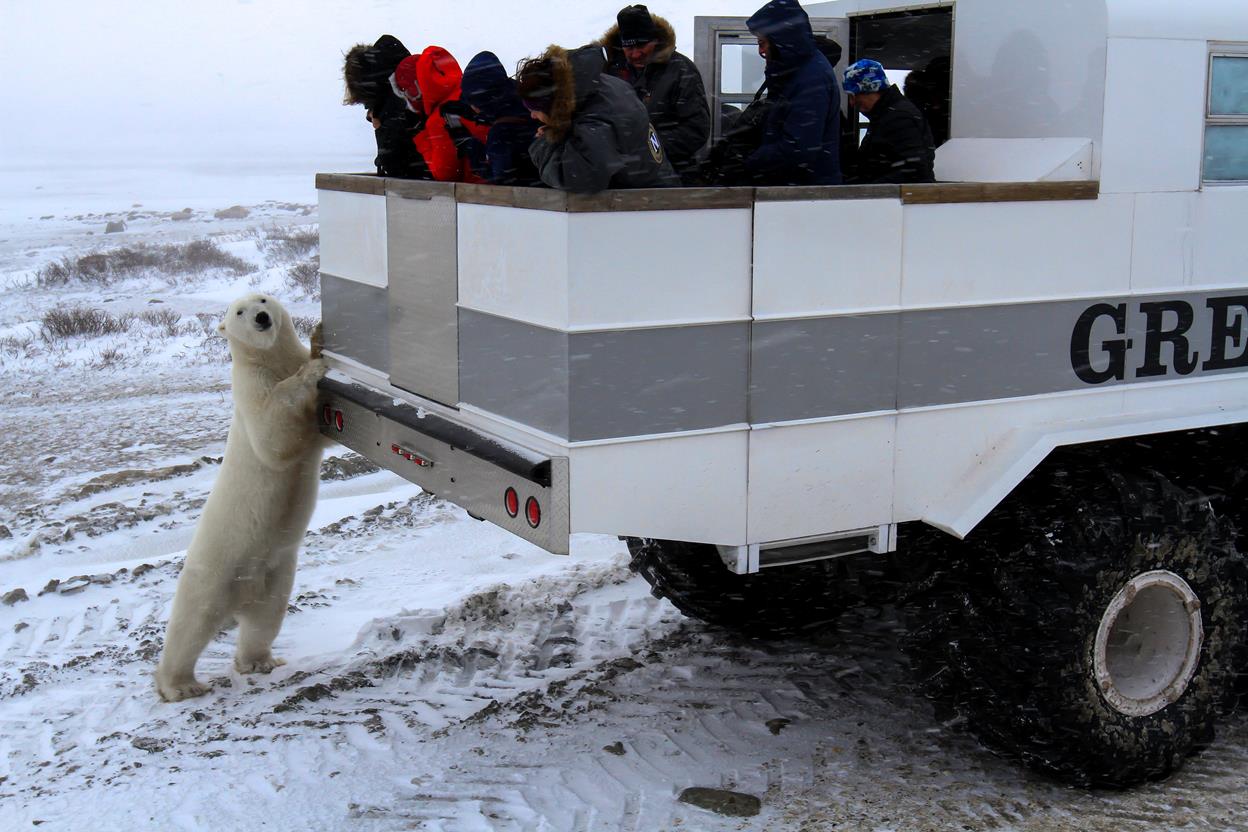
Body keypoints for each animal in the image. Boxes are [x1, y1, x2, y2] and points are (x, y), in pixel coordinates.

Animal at [155, 293, 326, 703]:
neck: (270, 359)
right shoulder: (250, 387)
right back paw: (180, 685)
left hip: (274, 578)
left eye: (262, 299)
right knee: (189, 627)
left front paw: (317, 338)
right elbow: (273, 435)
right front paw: (312, 370)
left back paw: (260, 661)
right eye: (238, 312)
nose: (262, 318)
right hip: (213, 574)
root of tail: (240, 597)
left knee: (264, 621)